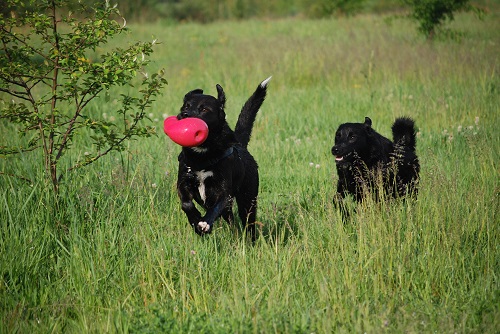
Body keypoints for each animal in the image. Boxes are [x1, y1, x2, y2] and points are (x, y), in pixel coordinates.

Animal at [175, 77, 270, 239]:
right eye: (186, 106)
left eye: (204, 109)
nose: (184, 115)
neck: (203, 156)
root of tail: (241, 146)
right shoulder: (183, 182)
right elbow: (186, 204)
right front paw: (195, 220)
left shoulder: (224, 192)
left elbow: (215, 208)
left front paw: (205, 223)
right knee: (230, 219)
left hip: (248, 200)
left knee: (247, 223)